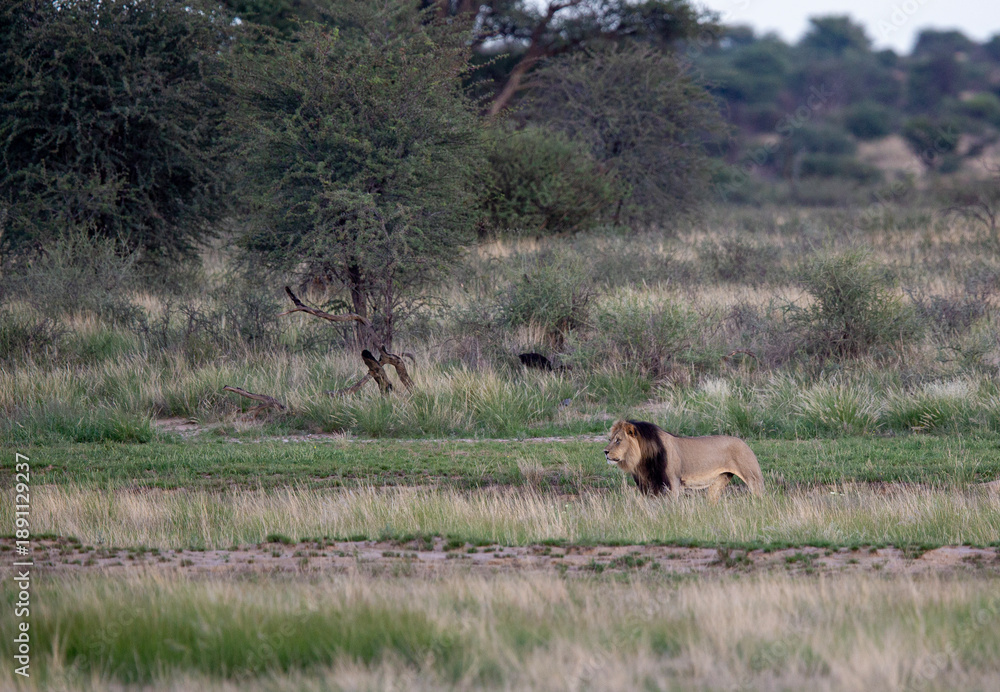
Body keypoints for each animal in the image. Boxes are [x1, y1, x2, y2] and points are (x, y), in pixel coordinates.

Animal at [604, 420, 764, 501]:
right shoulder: (648, 486)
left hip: (753, 478)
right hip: (719, 481)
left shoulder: (672, 484)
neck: (641, 461)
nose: (605, 452)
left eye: (618, 440)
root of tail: (744, 443)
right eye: (611, 439)